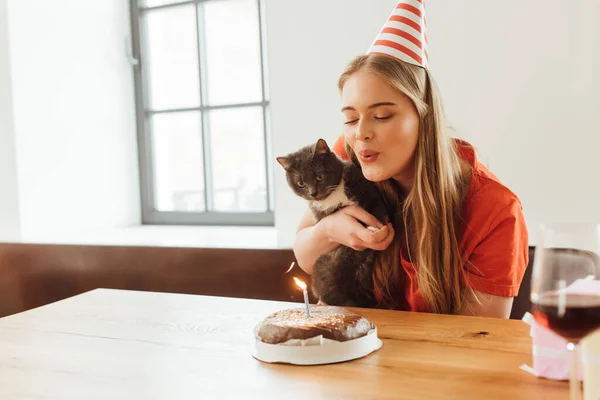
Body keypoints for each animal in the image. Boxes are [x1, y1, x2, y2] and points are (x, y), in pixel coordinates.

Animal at [276, 139, 390, 308]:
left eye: (319, 177)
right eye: (301, 183)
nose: (313, 193)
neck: (334, 194)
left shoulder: (368, 191)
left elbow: (377, 208)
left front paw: (377, 229)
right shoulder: (322, 215)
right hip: (324, 270)